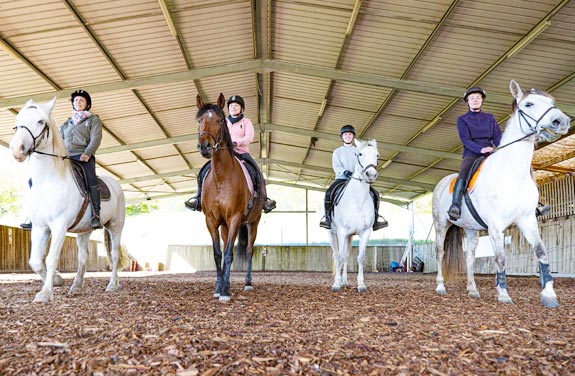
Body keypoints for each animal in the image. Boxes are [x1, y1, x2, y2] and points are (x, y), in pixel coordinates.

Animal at [9, 97, 129, 302]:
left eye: (40, 121)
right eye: (18, 120)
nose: (17, 149)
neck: (49, 181)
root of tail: (115, 184)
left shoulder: (59, 226)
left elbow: (51, 258)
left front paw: (45, 293)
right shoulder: (40, 227)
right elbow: (35, 261)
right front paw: (57, 281)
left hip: (115, 226)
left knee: (113, 255)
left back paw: (112, 285)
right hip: (84, 231)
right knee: (83, 257)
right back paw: (76, 287)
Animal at [196, 92, 264, 302]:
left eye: (219, 121)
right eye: (199, 120)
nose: (205, 147)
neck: (221, 176)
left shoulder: (234, 218)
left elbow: (228, 254)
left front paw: (226, 292)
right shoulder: (211, 220)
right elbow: (218, 253)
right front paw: (219, 288)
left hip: (253, 223)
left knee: (249, 251)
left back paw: (248, 283)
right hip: (224, 225)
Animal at [328, 137, 382, 290]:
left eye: (377, 155)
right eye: (360, 154)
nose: (371, 174)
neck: (357, 200)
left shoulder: (365, 232)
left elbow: (360, 258)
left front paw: (361, 285)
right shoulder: (341, 232)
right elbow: (340, 256)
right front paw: (336, 284)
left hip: (350, 236)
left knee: (346, 256)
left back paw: (345, 281)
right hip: (332, 234)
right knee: (337, 255)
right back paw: (339, 281)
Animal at [436, 81, 572, 306]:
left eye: (552, 103)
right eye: (528, 104)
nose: (561, 121)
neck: (511, 173)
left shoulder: (527, 220)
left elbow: (541, 252)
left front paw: (549, 295)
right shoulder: (495, 225)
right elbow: (500, 259)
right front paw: (503, 294)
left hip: (471, 230)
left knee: (470, 256)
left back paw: (473, 290)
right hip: (441, 224)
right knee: (439, 252)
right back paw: (440, 287)